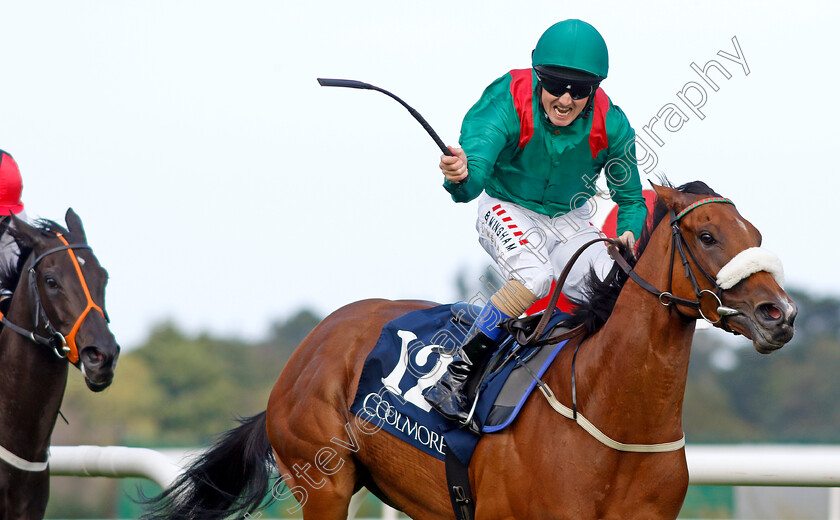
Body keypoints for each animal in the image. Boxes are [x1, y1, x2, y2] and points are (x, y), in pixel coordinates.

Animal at [143, 184, 796, 520]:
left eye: (758, 237)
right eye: (708, 236)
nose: (780, 315)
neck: (611, 420)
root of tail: (313, 344)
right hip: (322, 483)